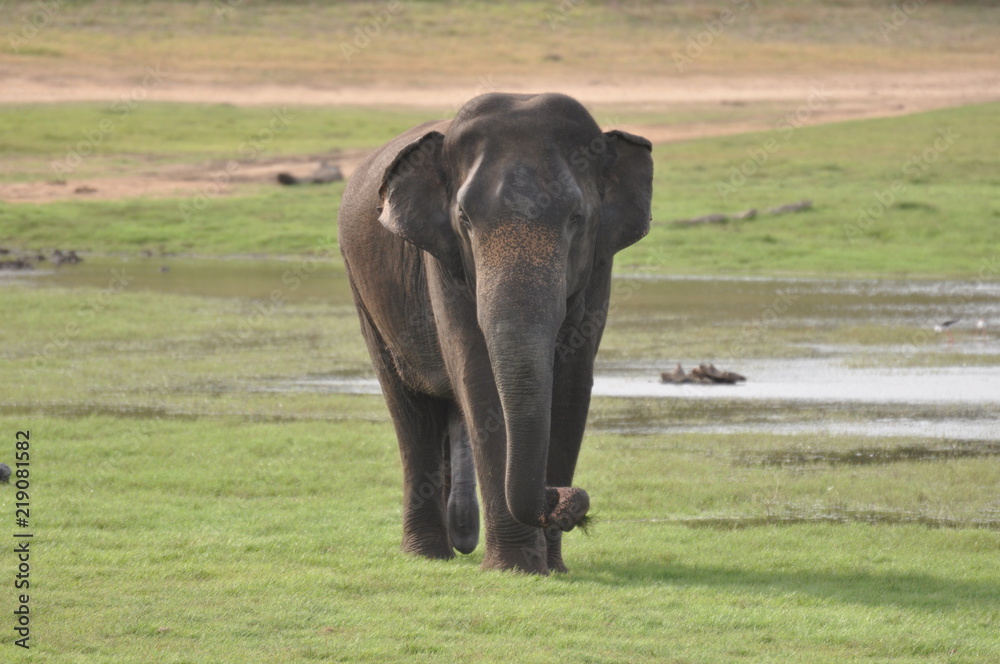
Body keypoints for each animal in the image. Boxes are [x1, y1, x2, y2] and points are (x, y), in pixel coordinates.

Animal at [337, 92, 653, 573]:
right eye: (464, 219)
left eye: (577, 217)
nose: (565, 500)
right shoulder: (442, 261)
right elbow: (478, 378)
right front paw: (517, 568)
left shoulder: (600, 265)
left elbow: (573, 385)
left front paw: (552, 568)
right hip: (363, 291)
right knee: (411, 413)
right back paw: (429, 554)